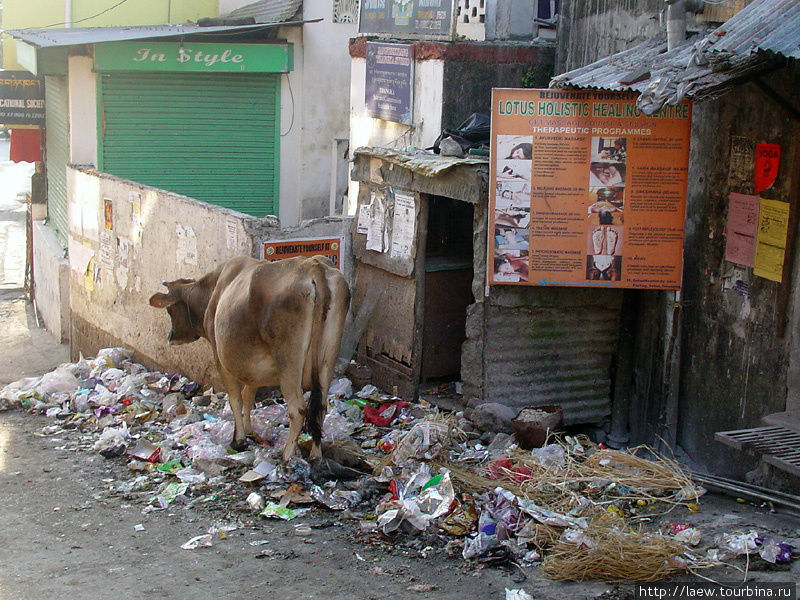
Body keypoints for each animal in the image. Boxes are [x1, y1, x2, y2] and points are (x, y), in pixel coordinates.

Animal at [150, 253, 350, 460]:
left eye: (169, 310)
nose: (170, 337)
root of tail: (313, 265)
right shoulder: (252, 367)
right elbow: (248, 395)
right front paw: (248, 430)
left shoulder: (220, 357)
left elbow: (235, 399)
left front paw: (238, 440)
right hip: (327, 359)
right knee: (321, 407)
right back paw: (315, 454)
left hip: (289, 364)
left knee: (298, 409)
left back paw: (287, 456)